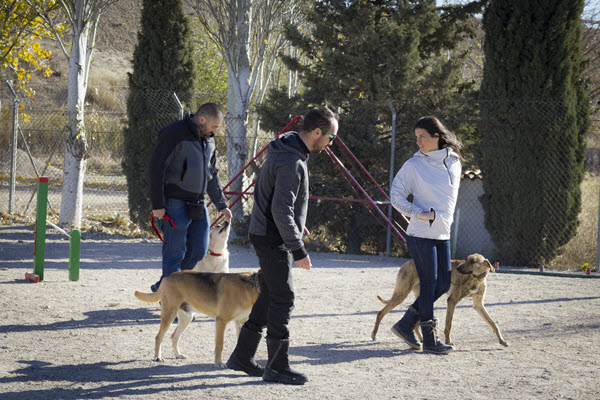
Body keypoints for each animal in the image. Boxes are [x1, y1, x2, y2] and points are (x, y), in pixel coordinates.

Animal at [372, 255, 508, 348]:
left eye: (473, 261)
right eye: (466, 259)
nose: (458, 268)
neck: (476, 278)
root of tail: (407, 262)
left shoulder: (478, 305)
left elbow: (493, 324)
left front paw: (502, 341)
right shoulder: (452, 300)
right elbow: (448, 325)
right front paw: (448, 342)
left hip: (424, 296)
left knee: (416, 319)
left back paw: (419, 339)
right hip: (401, 294)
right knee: (380, 313)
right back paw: (374, 334)